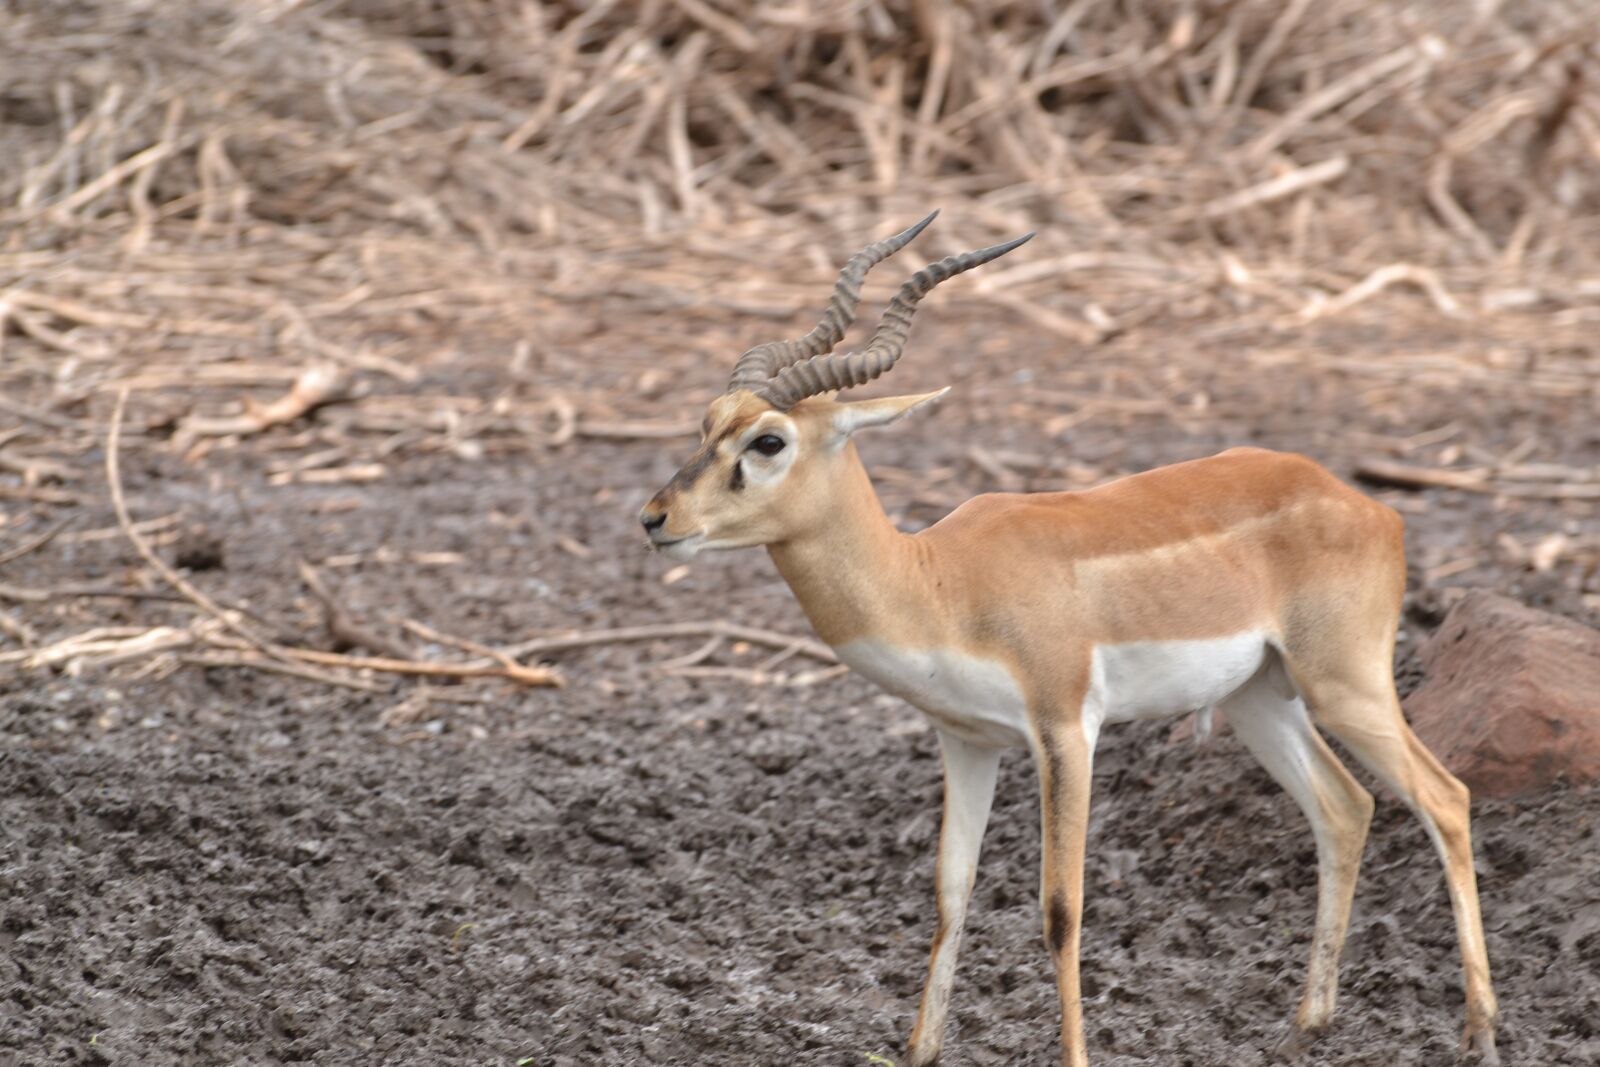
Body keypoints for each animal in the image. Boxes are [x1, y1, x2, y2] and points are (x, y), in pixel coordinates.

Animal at [638, 214, 1499, 1066]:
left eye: (768, 441)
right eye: (707, 421)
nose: (655, 517)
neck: (939, 581)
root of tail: (1367, 505)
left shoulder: (1065, 730)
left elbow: (1061, 907)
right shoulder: (966, 740)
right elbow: (950, 892)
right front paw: (918, 1050)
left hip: (1345, 683)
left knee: (1445, 797)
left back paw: (1480, 1032)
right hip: (1260, 698)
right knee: (1345, 806)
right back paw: (1307, 1024)